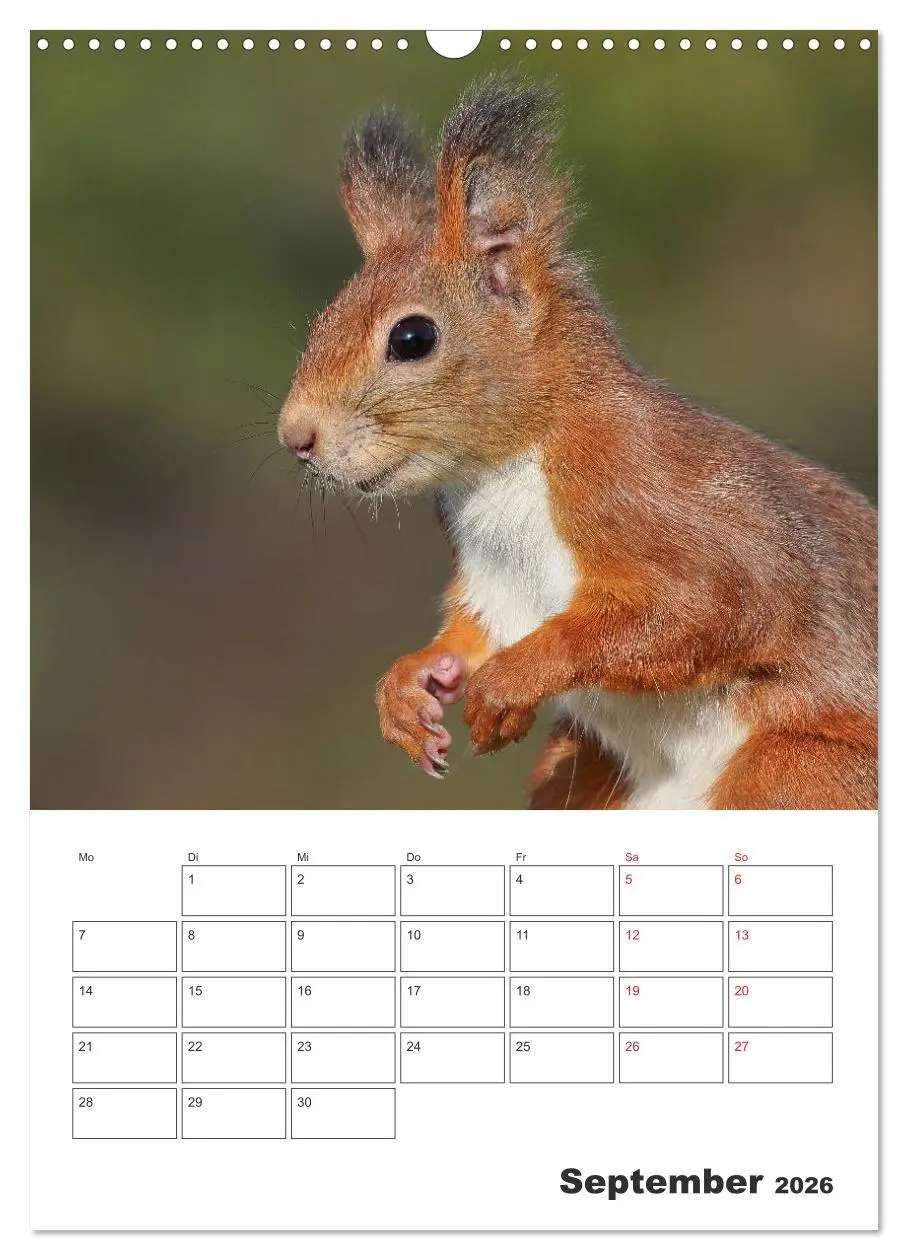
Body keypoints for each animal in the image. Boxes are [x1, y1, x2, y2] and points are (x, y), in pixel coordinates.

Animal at [277, 75, 877, 810]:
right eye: (322, 320)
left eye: (412, 338)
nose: (296, 436)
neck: (502, 472)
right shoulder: (493, 580)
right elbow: (470, 631)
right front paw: (408, 688)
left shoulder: (648, 489)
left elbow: (705, 607)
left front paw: (509, 684)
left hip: (800, 774)